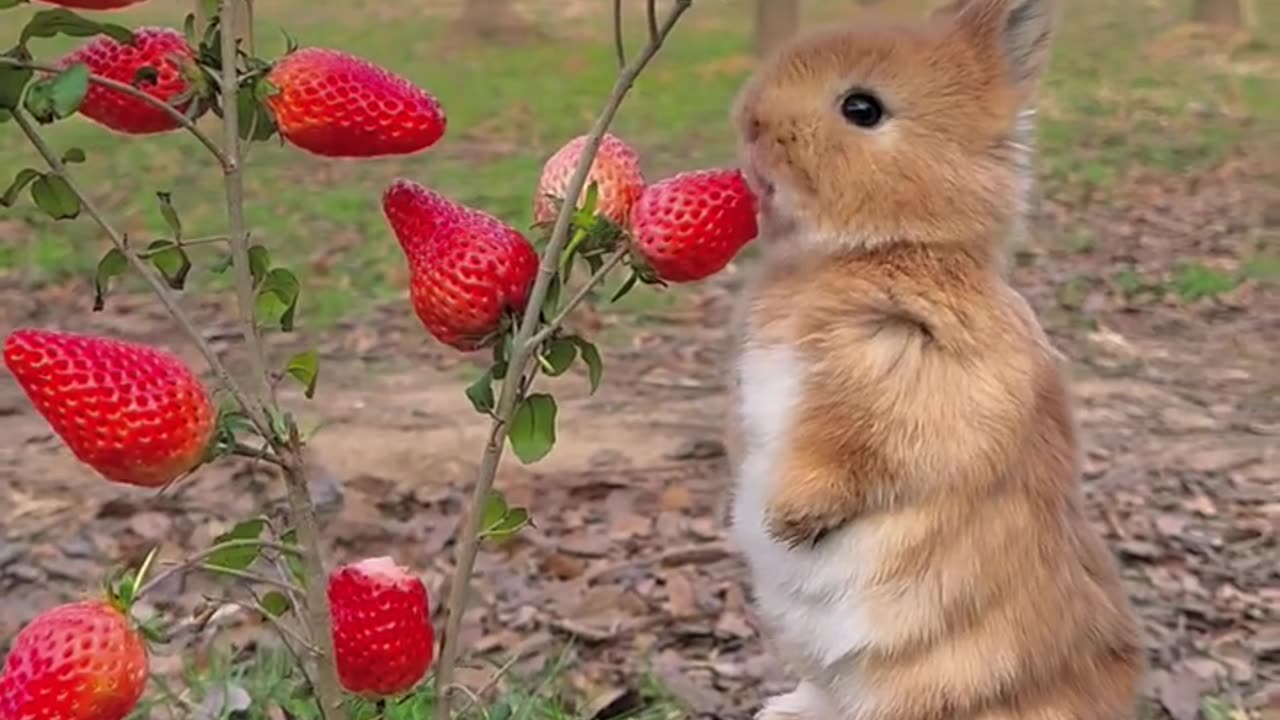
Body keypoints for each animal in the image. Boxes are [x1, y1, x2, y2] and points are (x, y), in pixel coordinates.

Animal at [721, 1, 1152, 717]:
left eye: (862, 108)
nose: (749, 122)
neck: (891, 246)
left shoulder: (912, 372)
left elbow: (853, 451)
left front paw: (788, 522)